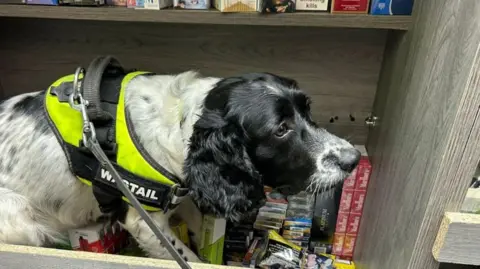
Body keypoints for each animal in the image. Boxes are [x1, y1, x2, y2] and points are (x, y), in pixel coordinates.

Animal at [0, 70, 360, 260]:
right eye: (281, 129)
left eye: (307, 110)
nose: (353, 159)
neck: (183, 123)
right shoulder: (145, 223)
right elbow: (186, 256)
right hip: (21, 217)